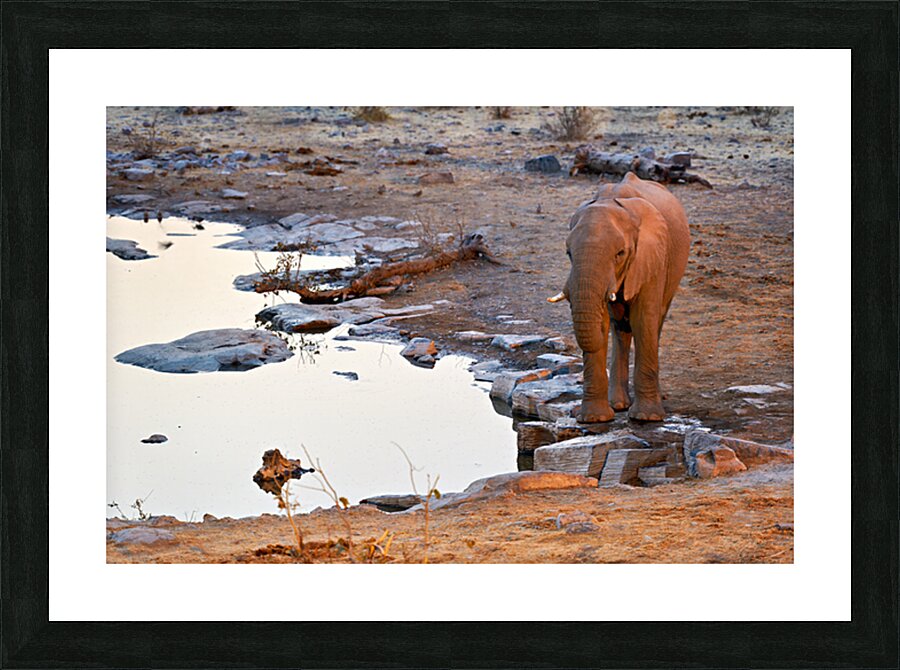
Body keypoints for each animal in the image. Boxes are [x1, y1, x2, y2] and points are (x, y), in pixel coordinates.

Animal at [548, 172, 690, 422]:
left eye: (620, 253)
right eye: (568, 253)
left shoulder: (651, 257)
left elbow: (643, 320)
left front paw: (646, 418)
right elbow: (604, 321)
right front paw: (594, 419)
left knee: (655, 322)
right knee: (619, 329)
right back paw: (619, 404)